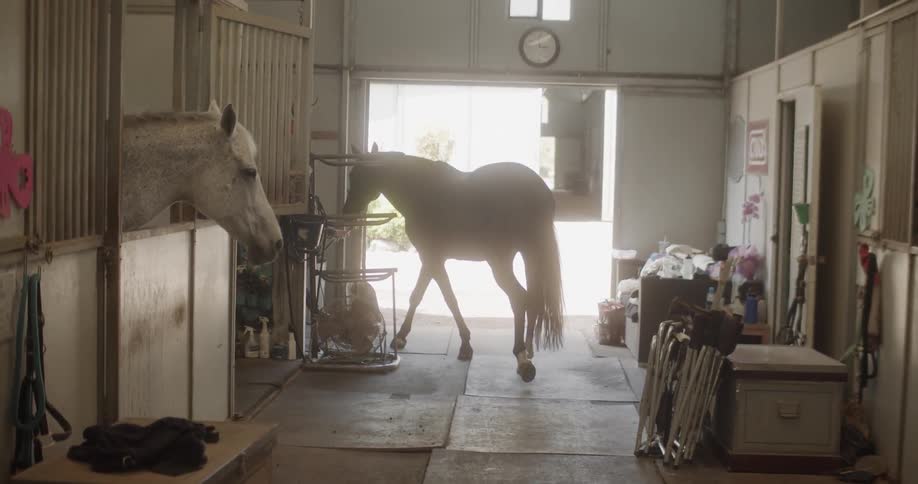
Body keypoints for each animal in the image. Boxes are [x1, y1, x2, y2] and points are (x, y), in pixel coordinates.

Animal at [342, 144, 564, 382]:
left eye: (360, 175)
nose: (347, 212)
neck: (421, 192)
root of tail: (540, 192)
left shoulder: (432, 257)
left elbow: (449, 299)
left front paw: (465, 345)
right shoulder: (431, 258)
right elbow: (417, 295)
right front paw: (401, 337)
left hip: (501, 262)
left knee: (520, 298)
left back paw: (522, 358)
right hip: (529, 255)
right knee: (533, 299)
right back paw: (528, 351)